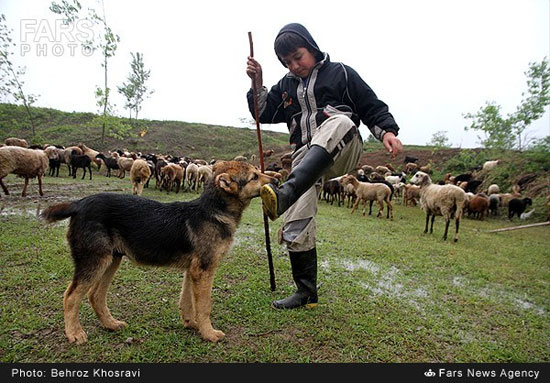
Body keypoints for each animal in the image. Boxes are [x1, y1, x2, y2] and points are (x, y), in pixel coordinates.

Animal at [42, 160, 274, 346]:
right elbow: (204, 306)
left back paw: (111, 324)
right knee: (71, 296)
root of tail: (78, 204)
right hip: (94, 260)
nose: (277, 179)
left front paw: (191, 324)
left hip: (111, 260)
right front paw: (208, 333)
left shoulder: (193, 270)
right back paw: (74, 333)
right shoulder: (204, 269)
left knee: (95, 295)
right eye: (254, 176)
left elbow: (187, 301)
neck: (214, 210)